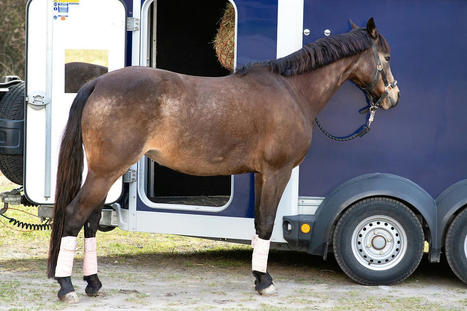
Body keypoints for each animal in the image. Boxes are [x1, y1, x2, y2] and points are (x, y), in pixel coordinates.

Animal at [47, 18, 400, 304]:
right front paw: (265, 282)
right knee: (75, 215)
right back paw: (66, 286)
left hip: (107, 173)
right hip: (105, 171)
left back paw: (93, 283)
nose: (393, 98)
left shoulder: (261, 174)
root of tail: (97, 84)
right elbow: (268, 223)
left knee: (91, 221)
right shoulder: (278, 172)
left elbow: (259, 223)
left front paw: (258, 277)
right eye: (386, 57)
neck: (290, 91)